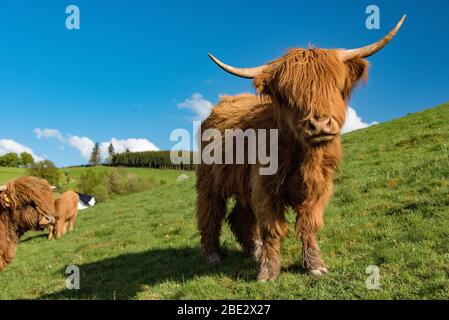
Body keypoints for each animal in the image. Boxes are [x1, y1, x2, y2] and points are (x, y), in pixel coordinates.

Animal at [197, 16, 406, 280]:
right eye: (289, 94)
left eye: (334, 86)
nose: (319, 124)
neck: (303, 155)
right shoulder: (265, 187)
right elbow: (271, 228)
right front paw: (268, 272)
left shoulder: (319, 185)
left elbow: (309, 225)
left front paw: (315, 264)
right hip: (209, 181)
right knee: (210, 214)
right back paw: (212, 255)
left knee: (240, 217)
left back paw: (254, 249)